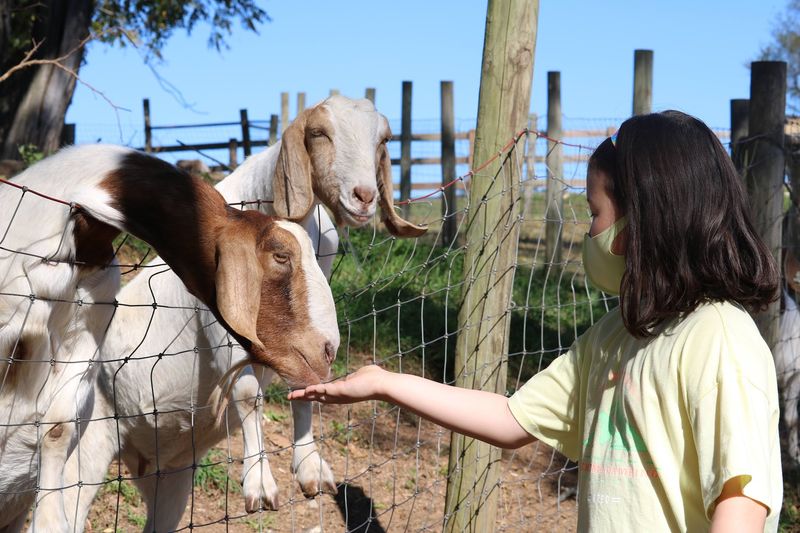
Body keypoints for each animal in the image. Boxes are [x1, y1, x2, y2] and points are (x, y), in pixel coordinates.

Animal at [62, 95, 425, 530]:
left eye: (384, 138)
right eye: (319, 133)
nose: (364, 196)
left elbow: (303, 384)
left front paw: (310, 467)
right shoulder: (224, 322)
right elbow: (250, 392)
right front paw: (259, 484)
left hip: (169, 476)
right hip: (84, 451)